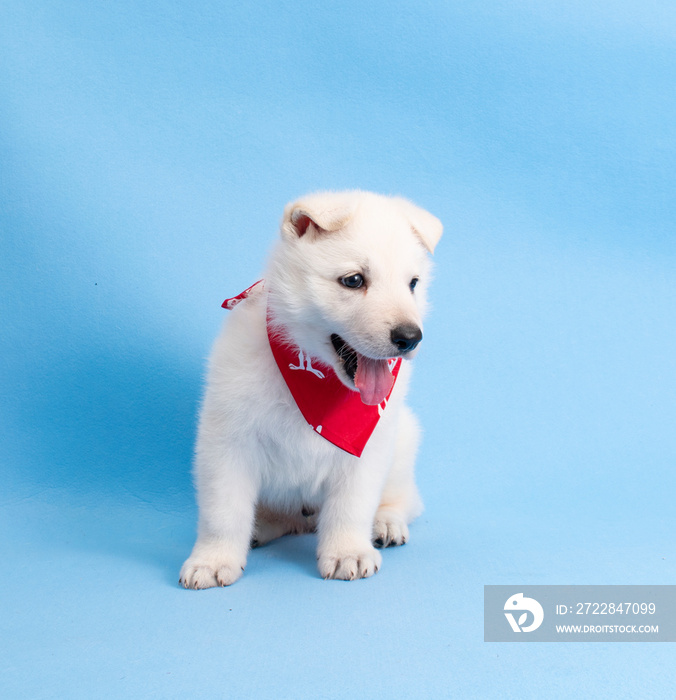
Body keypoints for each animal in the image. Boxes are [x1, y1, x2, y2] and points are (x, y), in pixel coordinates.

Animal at [181, 190, 444, 584]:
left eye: (412, 283)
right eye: (353, 280)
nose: (410, 338)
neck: (320, 378)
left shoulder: (368, 448)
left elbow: (351, 506)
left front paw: (348, 551)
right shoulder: (227, 442)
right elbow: (223, 512)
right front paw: (213, 559)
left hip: (404, 440)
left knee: (407, 500)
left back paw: (385, 523)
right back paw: (261, 527)